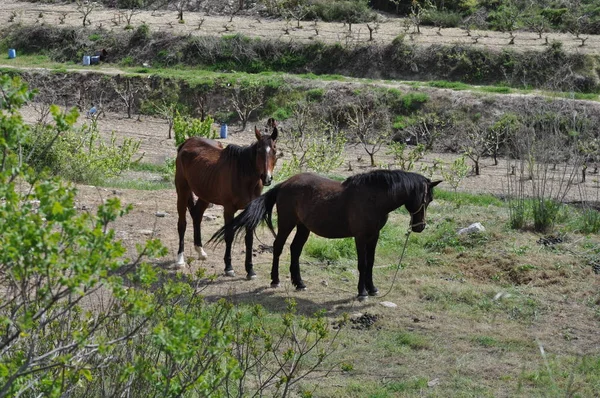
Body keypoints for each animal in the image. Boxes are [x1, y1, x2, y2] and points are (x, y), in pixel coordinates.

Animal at [172, 123, 278, 276]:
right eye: (259, 151)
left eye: (274, 151)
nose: (267, 178)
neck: (243, 174)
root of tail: (187, 143)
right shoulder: (228, 209)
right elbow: (229, 235)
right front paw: (228, 267)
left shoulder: (250, 210)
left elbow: (249, 239)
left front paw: (250, 269)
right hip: (182, 191)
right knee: (182, 224)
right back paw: (180, 260)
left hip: (205, 194)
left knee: (197, 216)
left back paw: (200, 251)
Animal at [210, 169, 440, 300]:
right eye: (425, 198)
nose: (420, 226)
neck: (373, 198)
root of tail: (284, 184)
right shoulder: (360, 236)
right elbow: (363, 264)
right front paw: (362, 292)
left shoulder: (374, 236)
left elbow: (371, 263)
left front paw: (372, 288)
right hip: (287, 224)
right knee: (278, 247)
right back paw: (275, 280)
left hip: (303, 227)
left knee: (295, 250)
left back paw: (299, 283)